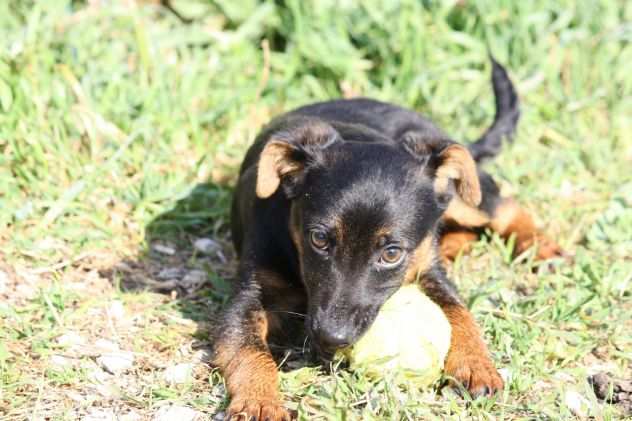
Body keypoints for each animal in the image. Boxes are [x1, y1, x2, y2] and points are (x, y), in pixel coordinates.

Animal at [212, 59, 564, 420]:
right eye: (319, 239)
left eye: (392, 254)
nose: (331, 337)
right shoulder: (246, 299)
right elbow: (250, 349)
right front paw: (259, 402)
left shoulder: (429, 274)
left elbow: (459, 310)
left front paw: (476, 364)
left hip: (462, 198)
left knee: (503, 208)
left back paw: (541, 248)